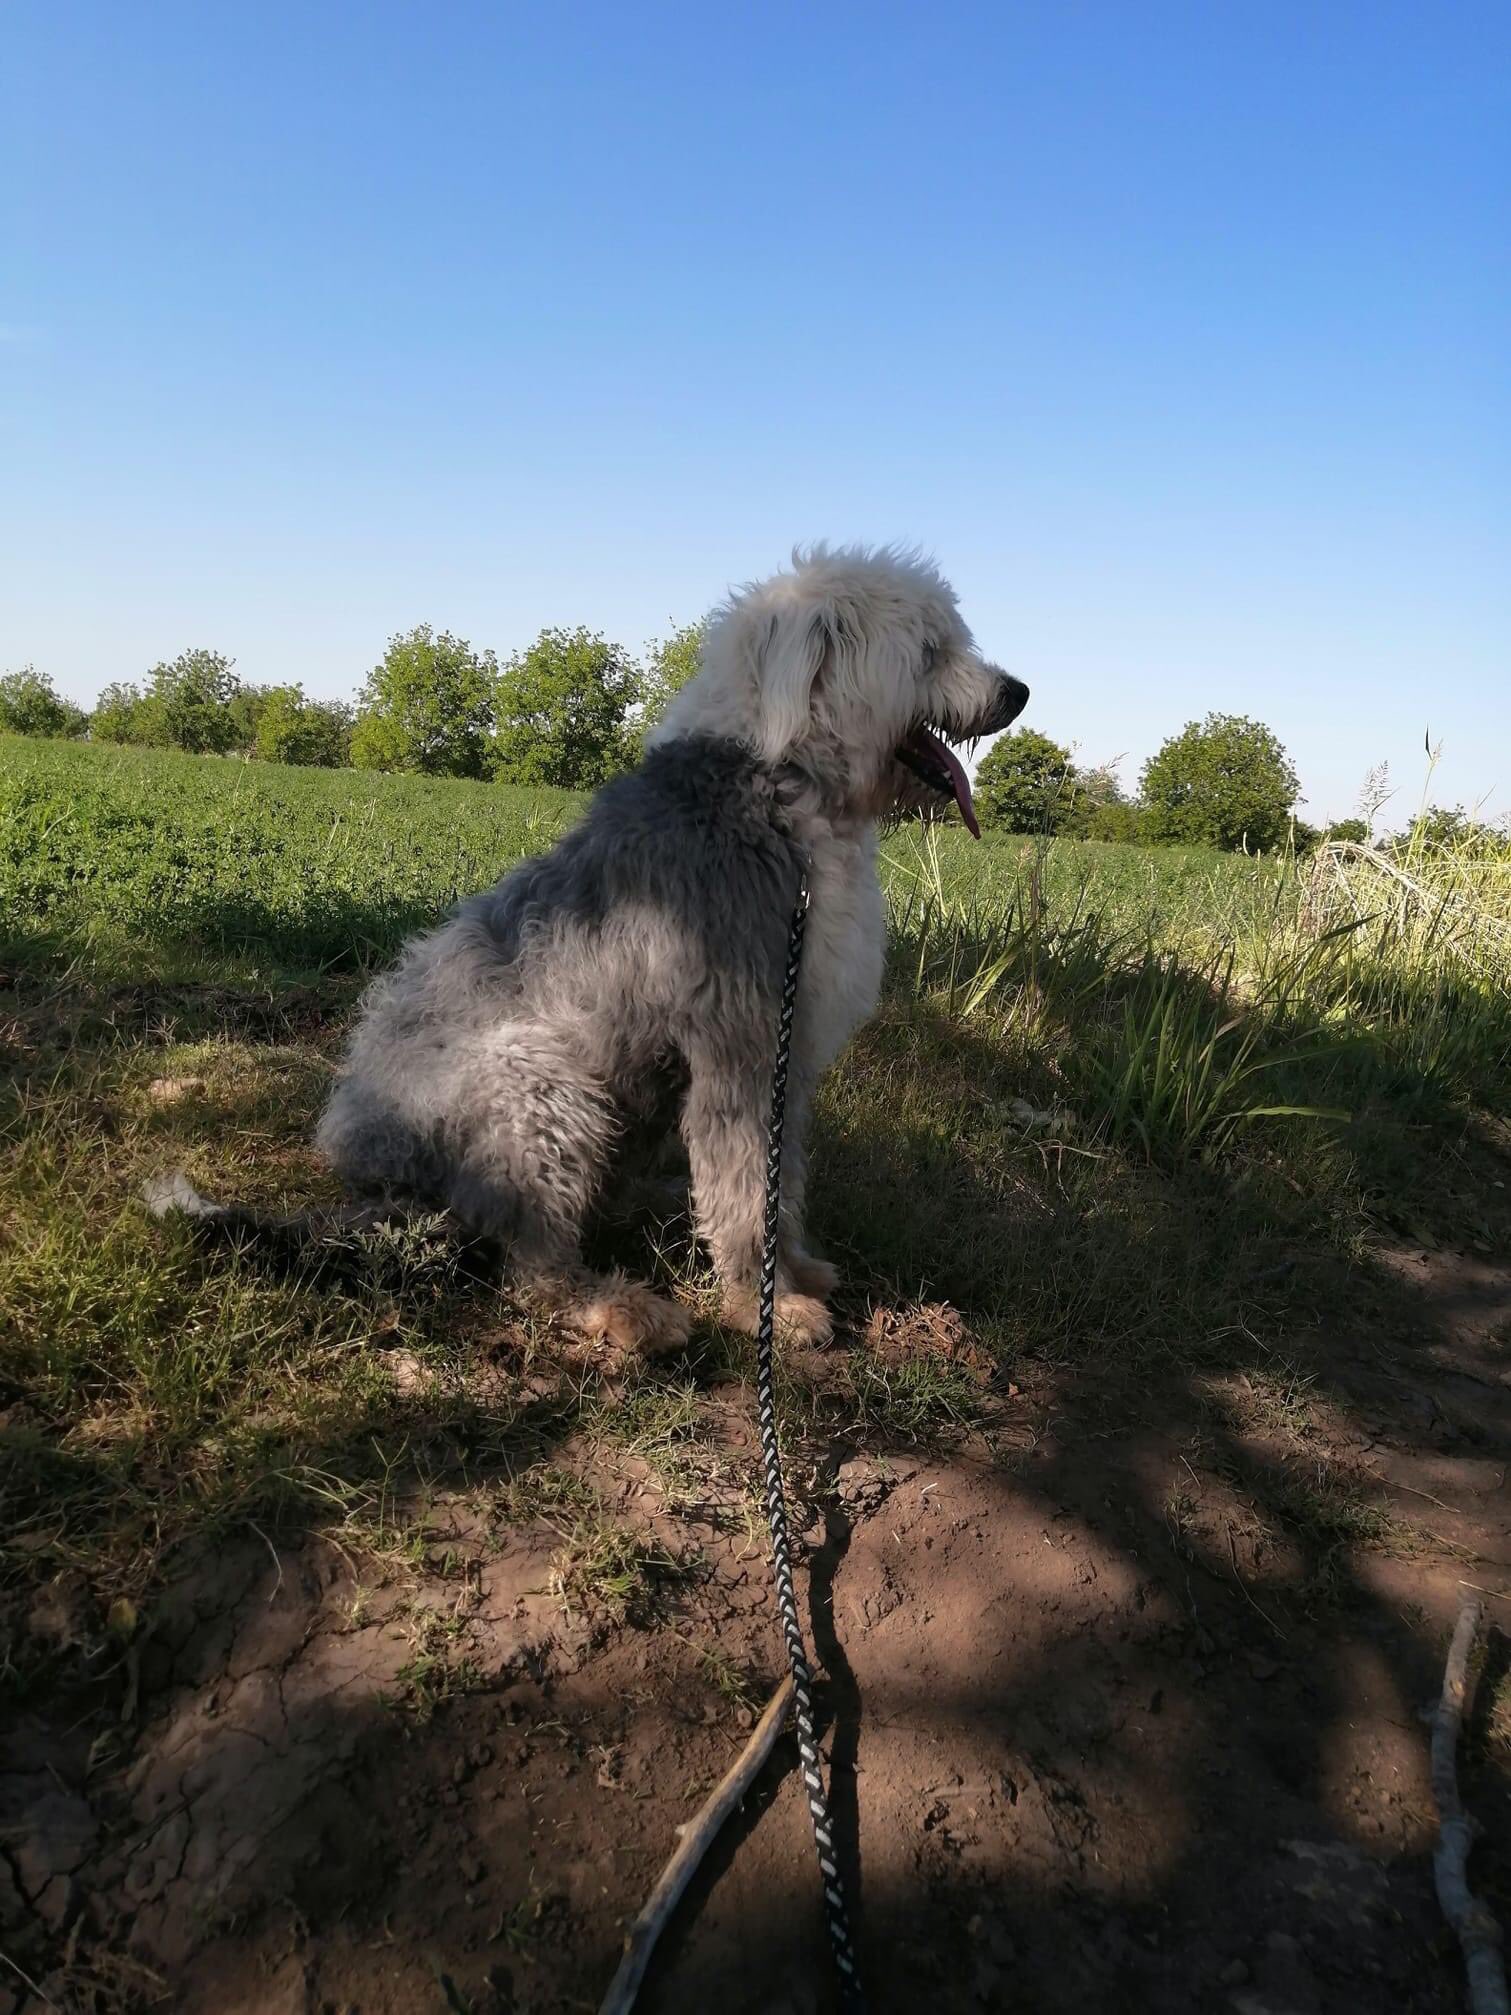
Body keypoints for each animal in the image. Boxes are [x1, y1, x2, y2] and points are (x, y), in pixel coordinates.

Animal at [154, 548, 1031, 1354]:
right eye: (930, 647)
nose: (1017, 692)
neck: (778, 789)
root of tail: (385, 1186)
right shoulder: (738, 1048)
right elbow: (746, 1190)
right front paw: (767, 1308)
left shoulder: (791, 1050)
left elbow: (782, 1184)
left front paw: (797, 1271)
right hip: (541, 1087)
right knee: (531, 1265)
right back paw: (625, 1311)